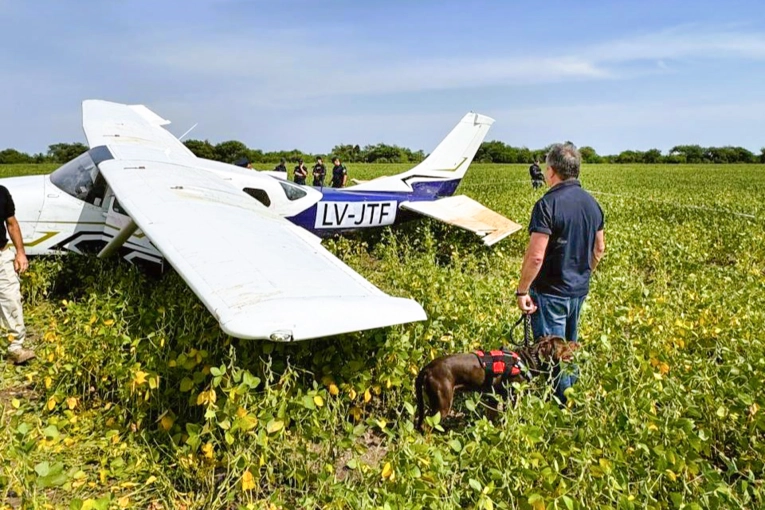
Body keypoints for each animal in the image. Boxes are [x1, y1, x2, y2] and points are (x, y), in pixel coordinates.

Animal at [414, 336, 576, 428]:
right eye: (563, 344)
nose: (577, 344)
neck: (527, 360)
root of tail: (427, 368)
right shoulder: (511, 397)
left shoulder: (493, 399)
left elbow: (492, 419)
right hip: (442, 404)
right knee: (427, 426)